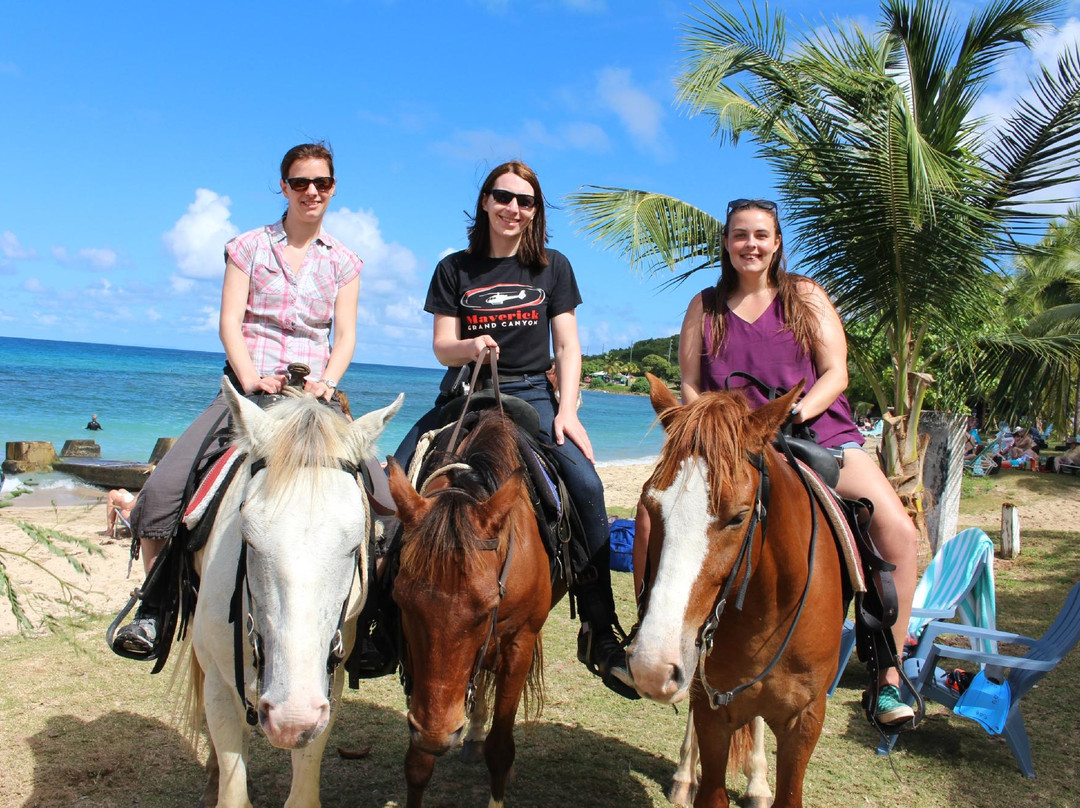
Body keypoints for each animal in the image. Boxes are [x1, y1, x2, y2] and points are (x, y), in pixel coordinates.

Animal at [183, 382, 403, 808]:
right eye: (248, 537)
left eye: (357, 544)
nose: (291, 719)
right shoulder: (219, 681)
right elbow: (232, 787)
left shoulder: (328, 682)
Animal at [630, 378, 846, 808]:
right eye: (649, 502)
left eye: (739, 517)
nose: (651, 668)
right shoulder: (713, 710)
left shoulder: (806, 719)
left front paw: (760, 782)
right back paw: (684, 776)